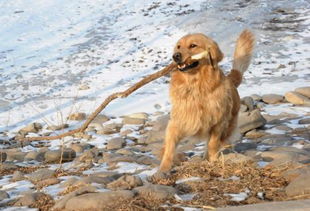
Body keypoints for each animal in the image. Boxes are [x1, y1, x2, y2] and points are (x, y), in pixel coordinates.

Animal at [160, 29, 254, 171]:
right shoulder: (178, 121)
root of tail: (230, 79)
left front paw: (213, 160)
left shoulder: (218, 123)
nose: (175, 56)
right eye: (178, 46)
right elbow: (169, 147)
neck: (195, 86)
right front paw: (163, 169)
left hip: (229, 125)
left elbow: (213, 144)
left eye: (193, 45)